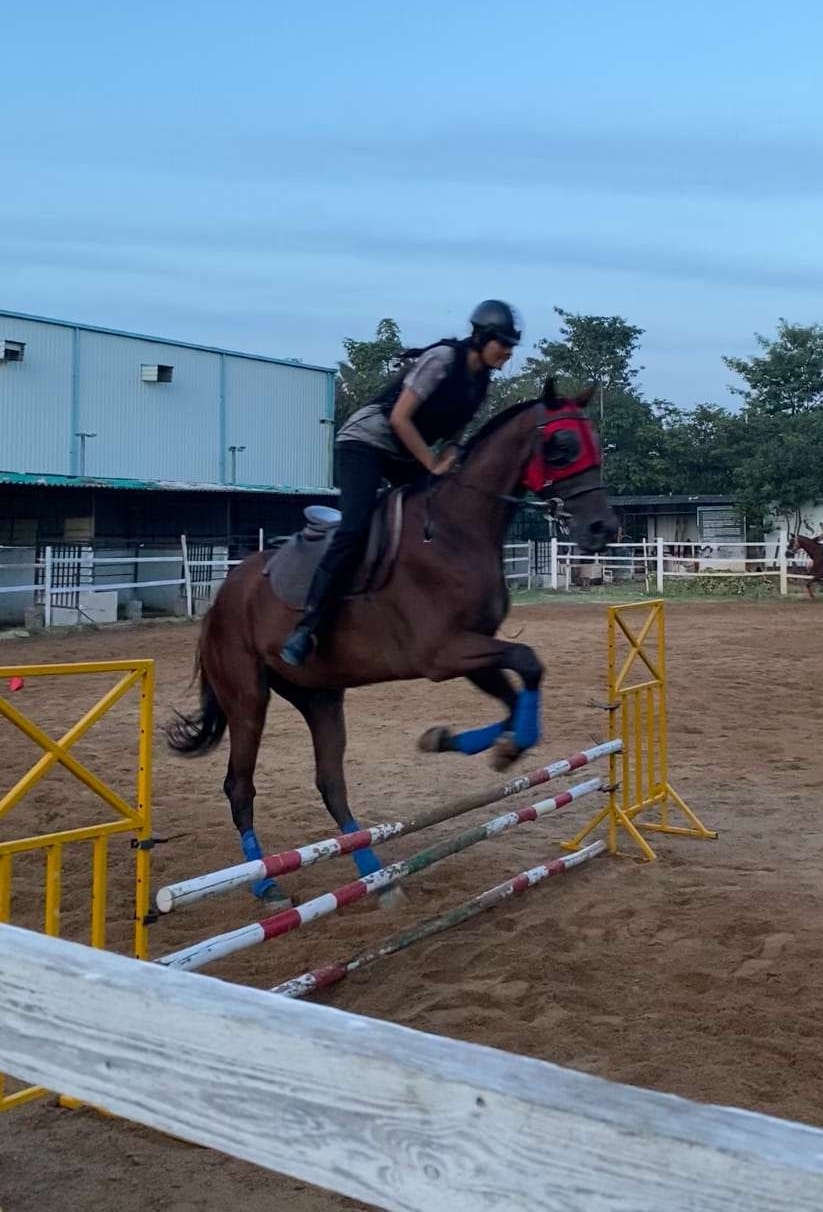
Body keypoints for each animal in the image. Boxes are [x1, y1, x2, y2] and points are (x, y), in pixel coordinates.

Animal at [167, 377, 619, 910]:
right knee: (239, 785)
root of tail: (221, 599)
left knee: (330, 783)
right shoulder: (443, 653)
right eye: (562, 445)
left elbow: (518, 690)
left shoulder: (472, 651)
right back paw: (266, 884)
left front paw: (470, 742)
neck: (455, 530)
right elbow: (528, 663)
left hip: (319, 696)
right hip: (248, 698)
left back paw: (376, 876)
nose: (603, 528)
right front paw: (497, 746)